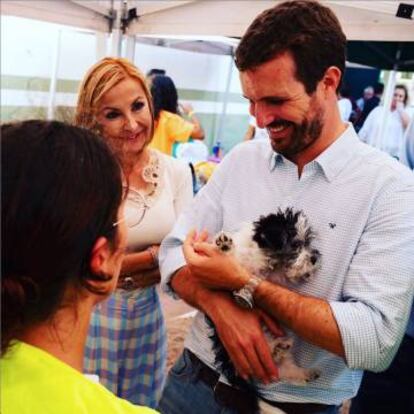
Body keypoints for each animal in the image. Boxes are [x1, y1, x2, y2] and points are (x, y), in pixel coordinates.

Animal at [209, 210, 322, 410]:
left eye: (308, 242)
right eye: (296, 244)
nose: (315, 258)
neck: (266, 260)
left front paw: (304, 272)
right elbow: (234, 258)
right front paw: (224, 246)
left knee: (284, 368)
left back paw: (298, 366)